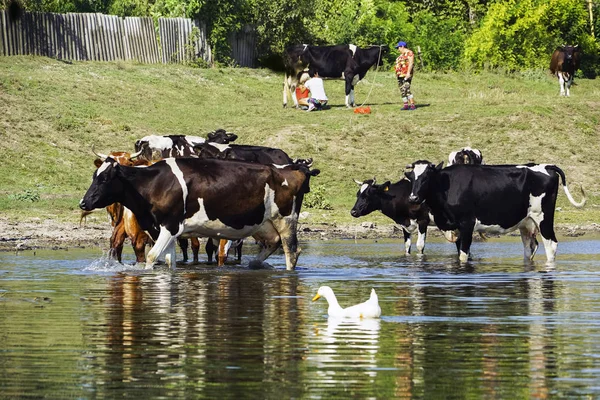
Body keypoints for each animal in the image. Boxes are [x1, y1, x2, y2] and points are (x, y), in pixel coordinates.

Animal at [82, 158, 322, 270]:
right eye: (94, 176)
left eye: (104, 179)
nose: (83, 202)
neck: (154, 183)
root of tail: (292, 168)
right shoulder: (164, 229)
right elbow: (169, 261)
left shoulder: (170, 225)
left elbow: (151, 257)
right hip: (263, 225)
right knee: (271, 244)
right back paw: (254, 264)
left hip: (286, 220)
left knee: (292, 251)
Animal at [404, 161, 584, 264]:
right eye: (411, 178)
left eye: (427, 177)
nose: (413, 198)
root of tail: (545, 165)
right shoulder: (456, 228)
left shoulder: (467, 224)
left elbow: (463, 255)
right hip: (526, 223)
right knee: (530, 247)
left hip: (543, 217)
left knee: (551, 245)